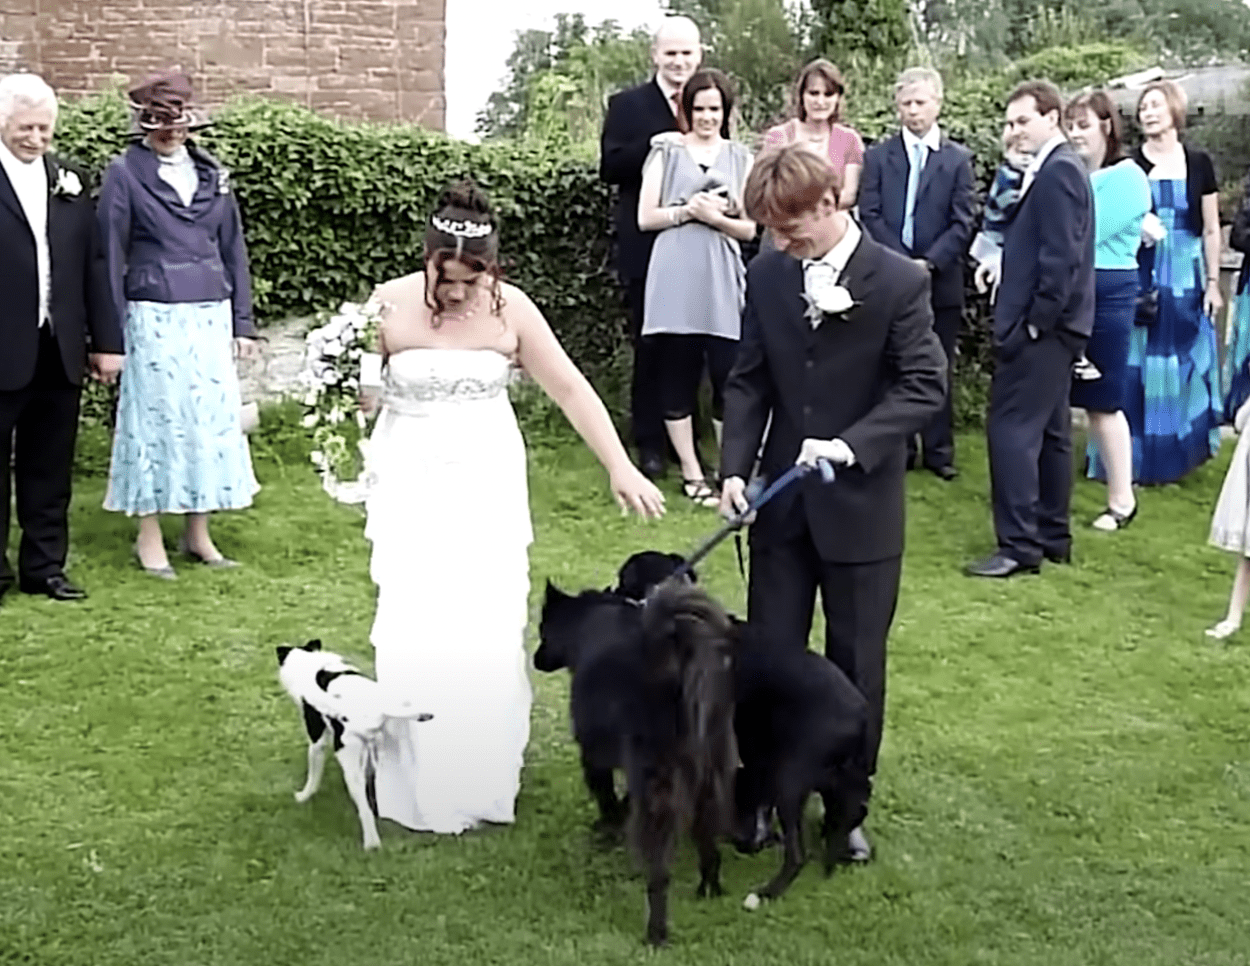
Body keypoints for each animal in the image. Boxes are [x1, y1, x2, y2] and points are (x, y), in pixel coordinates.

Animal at [276, 637, 432, 849]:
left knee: (365, 811)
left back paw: (372, 843)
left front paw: (303, 796)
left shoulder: (317, 740)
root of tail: (376, 709)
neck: (310, 664)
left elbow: (313, 776)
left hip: (350, 764)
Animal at [532, 577, 735, 944]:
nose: (535, 659)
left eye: (543, 628)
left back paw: (656, 930)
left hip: (659, 783)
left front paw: (607, 826)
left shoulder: (593, 755)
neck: (591, 619)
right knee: (708, 839)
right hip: (710, 773)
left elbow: (606, 797)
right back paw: (709, 886)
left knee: (659, 870)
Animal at [612, 549, 870, 904]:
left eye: (624, 576)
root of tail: (859, 714)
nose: (610, 589)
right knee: (850, 809)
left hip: (791, 777)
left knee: (798, 853)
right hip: (827, 775)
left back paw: (766, 893)